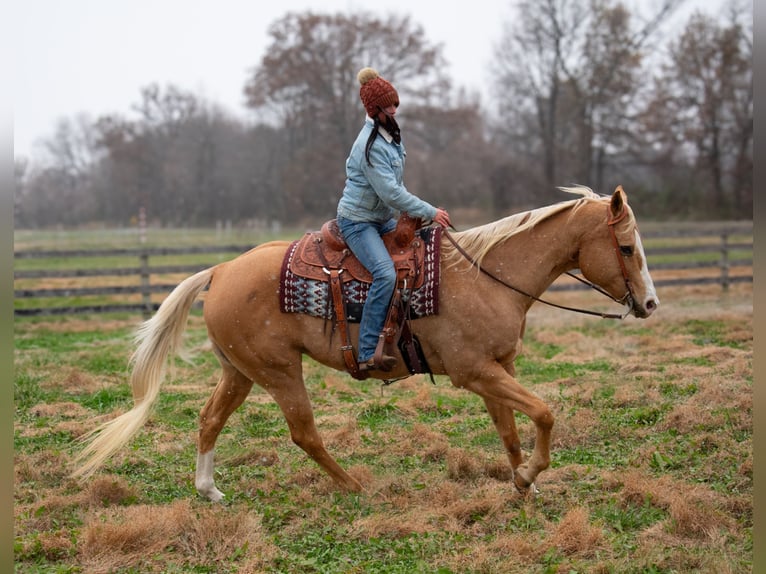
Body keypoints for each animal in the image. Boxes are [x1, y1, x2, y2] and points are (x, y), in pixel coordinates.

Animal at [73, 187, 660, 502]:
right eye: (626, 247)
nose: (650, 303)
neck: (484, 276)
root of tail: (220, 271)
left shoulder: (498, 369)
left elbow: (512, 430)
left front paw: (523, 484)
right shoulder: (475, 372)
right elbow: (543, 413)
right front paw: (532, 477)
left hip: (239, 371)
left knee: (208, 419)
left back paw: (209, 489)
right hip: (280, 372)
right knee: (304, 433)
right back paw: (354, 485)